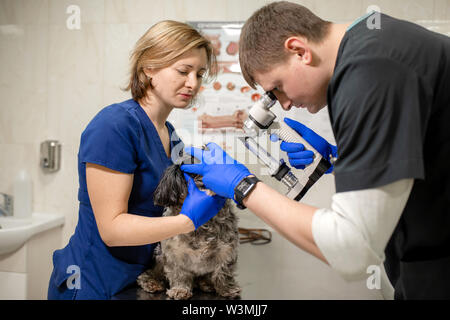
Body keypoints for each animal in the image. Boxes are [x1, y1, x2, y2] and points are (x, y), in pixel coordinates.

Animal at [136, 162, 241, 300]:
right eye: (193, 174)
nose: (205, 182)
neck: (204, 223)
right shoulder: (175, 255)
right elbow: (179, 274)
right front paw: (180, 290)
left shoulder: (226, 251)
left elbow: (223, 271)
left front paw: (227, 289)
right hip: (159, 257)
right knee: (149, 273)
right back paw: (152, 282)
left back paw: (207, 284)